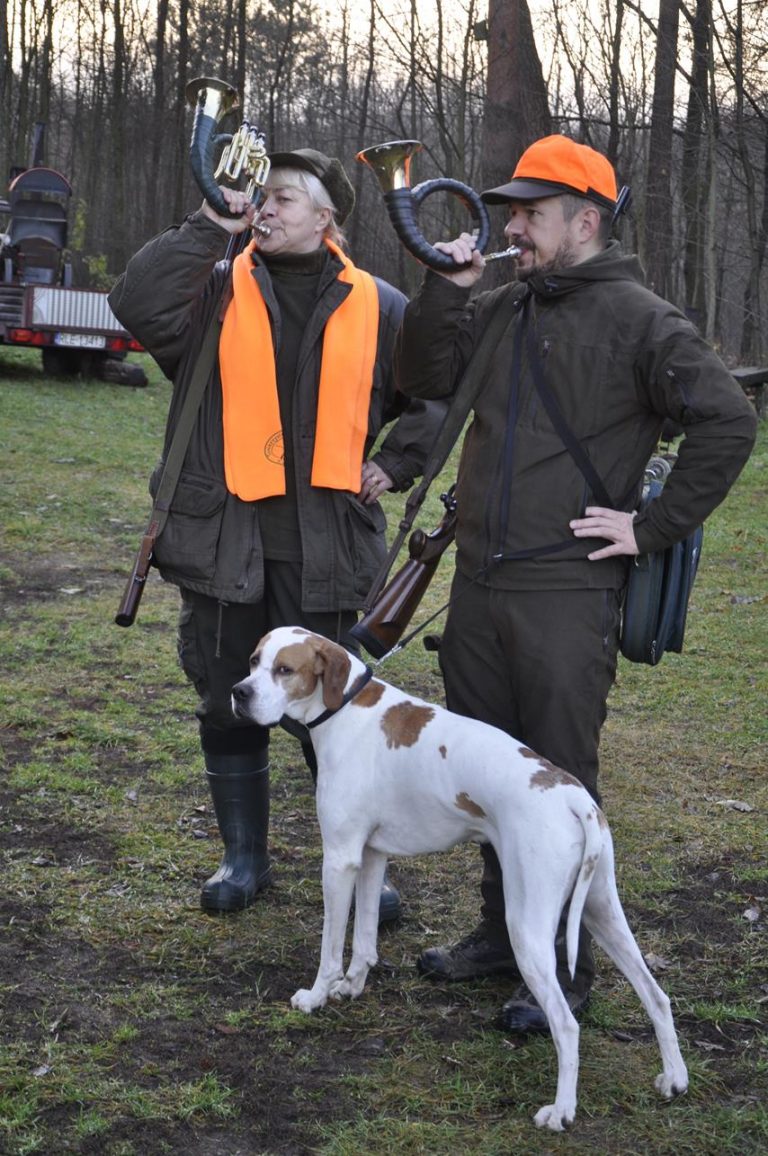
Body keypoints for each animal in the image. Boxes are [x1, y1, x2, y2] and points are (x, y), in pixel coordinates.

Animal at [231, 624, 684, 1128]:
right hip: (602, 911)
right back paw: (674, 1079)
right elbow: (365, 939)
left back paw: (562, 1110)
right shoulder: (371, 856)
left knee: (566, 1023)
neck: (346, 708)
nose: (239, 693)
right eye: (252, 661)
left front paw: (316, 997)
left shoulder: (340, 859)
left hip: (528, 927)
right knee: (656, 996)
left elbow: (331, 947)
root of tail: (573, 797)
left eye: (284, 669)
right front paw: (352, 986)